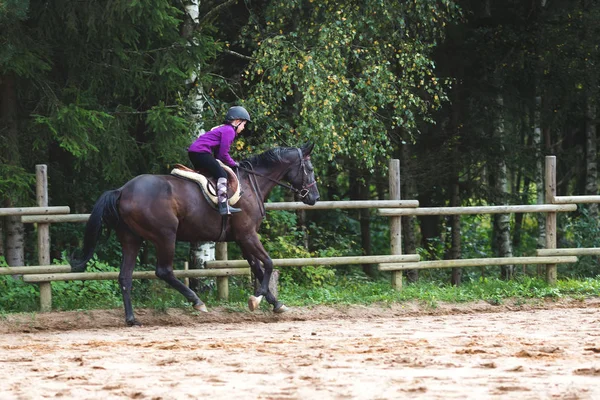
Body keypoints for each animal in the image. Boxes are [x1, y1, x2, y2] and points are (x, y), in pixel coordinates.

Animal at [68, 143, 322, 324]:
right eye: (310, 169)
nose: (314, 197)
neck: (252, 184)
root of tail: (122, 190)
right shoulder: (248, 235)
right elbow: (268, 264)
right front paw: (257, 298)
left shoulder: (242, 238)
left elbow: (258, 269)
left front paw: (275, 304)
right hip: (165, 236)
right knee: (164, 271)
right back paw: (197, 302)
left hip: (131, 238)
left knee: (125, 276)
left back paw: (131, 319)